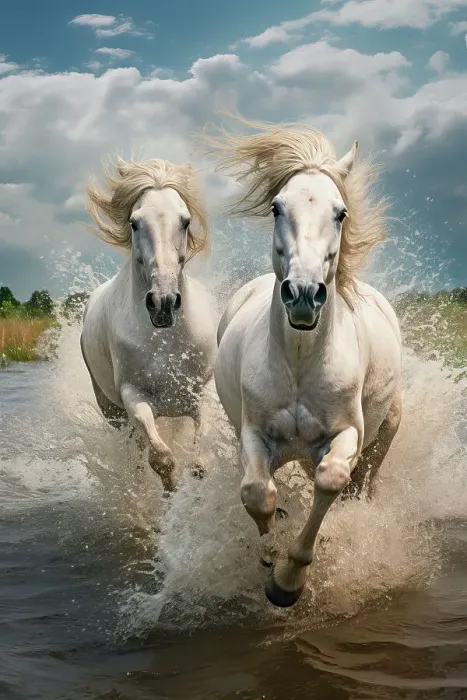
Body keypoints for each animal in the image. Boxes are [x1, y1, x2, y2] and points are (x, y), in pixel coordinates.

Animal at [80, 156, 216, 492]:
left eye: (185, 221)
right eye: (134, 222)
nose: (163, 303)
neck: (166, 340)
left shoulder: (201, 392)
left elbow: (200, 461)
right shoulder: (133, 396)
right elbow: (161, 458)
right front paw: (168, 493)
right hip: (115, 414)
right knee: (137, 451)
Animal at [204, 117, 402, 607]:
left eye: (340, 212)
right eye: (277, 207)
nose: (304, 295)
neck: (299, 362)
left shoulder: (347, 435)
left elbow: (331, 479)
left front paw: (290, 579)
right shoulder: (255, 435)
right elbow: (257, 493)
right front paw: (270, 558)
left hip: (384, 434)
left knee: (356, 485)